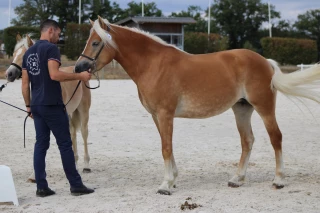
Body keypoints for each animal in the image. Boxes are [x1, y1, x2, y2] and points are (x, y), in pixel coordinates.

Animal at [74, 15, 320, 194]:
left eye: (95, 42)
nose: (78, 67)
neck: (153, 64)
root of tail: (265, 61)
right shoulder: (157, 116)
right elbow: (166, 146)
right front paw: (172, 180)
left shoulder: (165, 114)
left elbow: (166, 147)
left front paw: (165, 185)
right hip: (242, 109)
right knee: (247, 141)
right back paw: (237, 179)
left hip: (264, 108)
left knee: (276, 138)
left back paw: (278, 180)